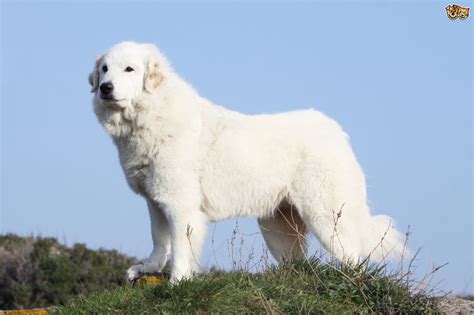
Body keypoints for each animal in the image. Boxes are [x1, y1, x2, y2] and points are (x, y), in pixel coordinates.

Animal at [90, 41, 408, 282]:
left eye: (129, 69)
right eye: (104, 69)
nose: (105, 87)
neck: (152, 114)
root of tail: (335, 130)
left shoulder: (181, 205)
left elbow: (180, 248)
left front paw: (177, 283)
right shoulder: (156, 201)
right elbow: (159, 240)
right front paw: (147, 268)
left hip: (325, 217)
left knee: (354, 258)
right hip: (278, 227)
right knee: (298, 263)